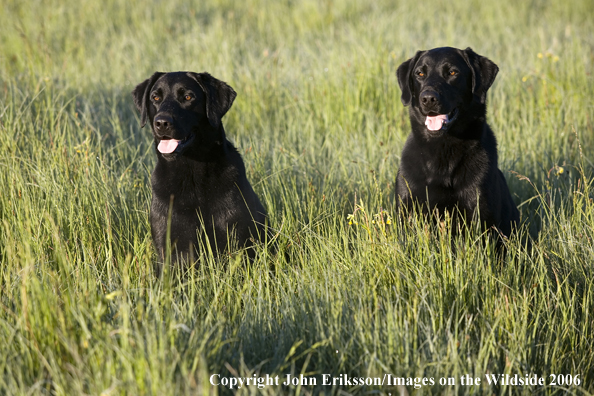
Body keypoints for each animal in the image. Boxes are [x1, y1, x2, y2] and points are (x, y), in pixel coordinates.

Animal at [133, 71, 268, 266]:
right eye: (155, 97)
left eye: (188, 97)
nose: (162, 123)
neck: (191, 174)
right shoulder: (170, 248)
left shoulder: (237, 240)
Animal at [394, 48, 520, 237]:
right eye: (420, 73)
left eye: (452, 72)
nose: (428, 98)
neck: (442, 148)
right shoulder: (407, 208)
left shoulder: (479, 213)